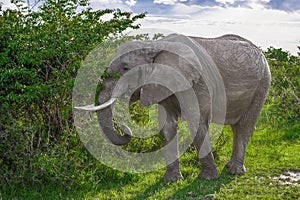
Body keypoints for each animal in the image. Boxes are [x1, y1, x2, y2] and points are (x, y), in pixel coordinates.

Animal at [75, 33, 272, 181]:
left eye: (125, 68)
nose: (125, 129)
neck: (154, 45)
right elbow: (167, 127)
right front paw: (171, 180)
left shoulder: (198, 83)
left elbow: (197, 123)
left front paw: (208, 178)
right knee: (237, 127)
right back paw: (231, 166)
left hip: (263, 83)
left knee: (245, 125)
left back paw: (235, 171)